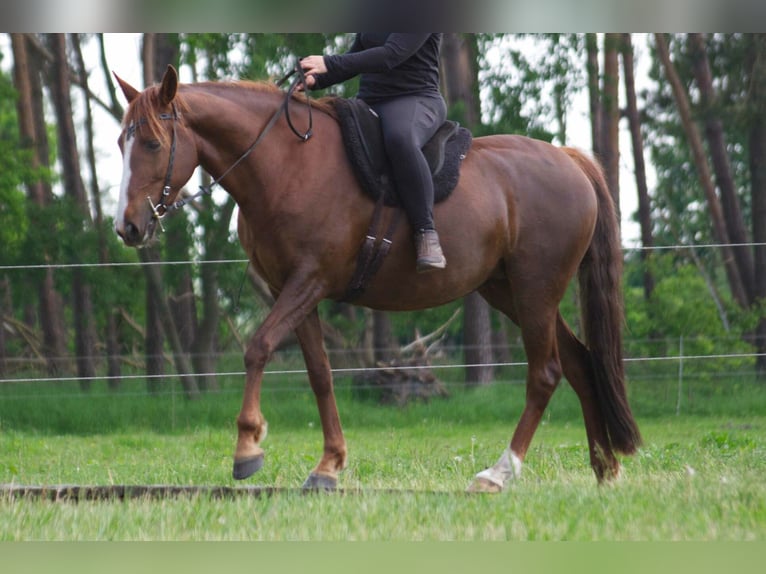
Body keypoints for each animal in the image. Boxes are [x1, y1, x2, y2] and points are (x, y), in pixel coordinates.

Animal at [114, 65, 640, 492]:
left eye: (153, 143)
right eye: (121, 143)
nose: (128, 227)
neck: (287, 165)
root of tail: (570, 159)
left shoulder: (308, 281)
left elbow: (258, 348)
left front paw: (247, 448)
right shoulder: (295, 290)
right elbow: (320, 373)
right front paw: (328, 465)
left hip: (536, 291)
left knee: (545, 373)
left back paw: (498, 473)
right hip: (509, 291)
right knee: (580, 364)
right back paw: (604, 469)